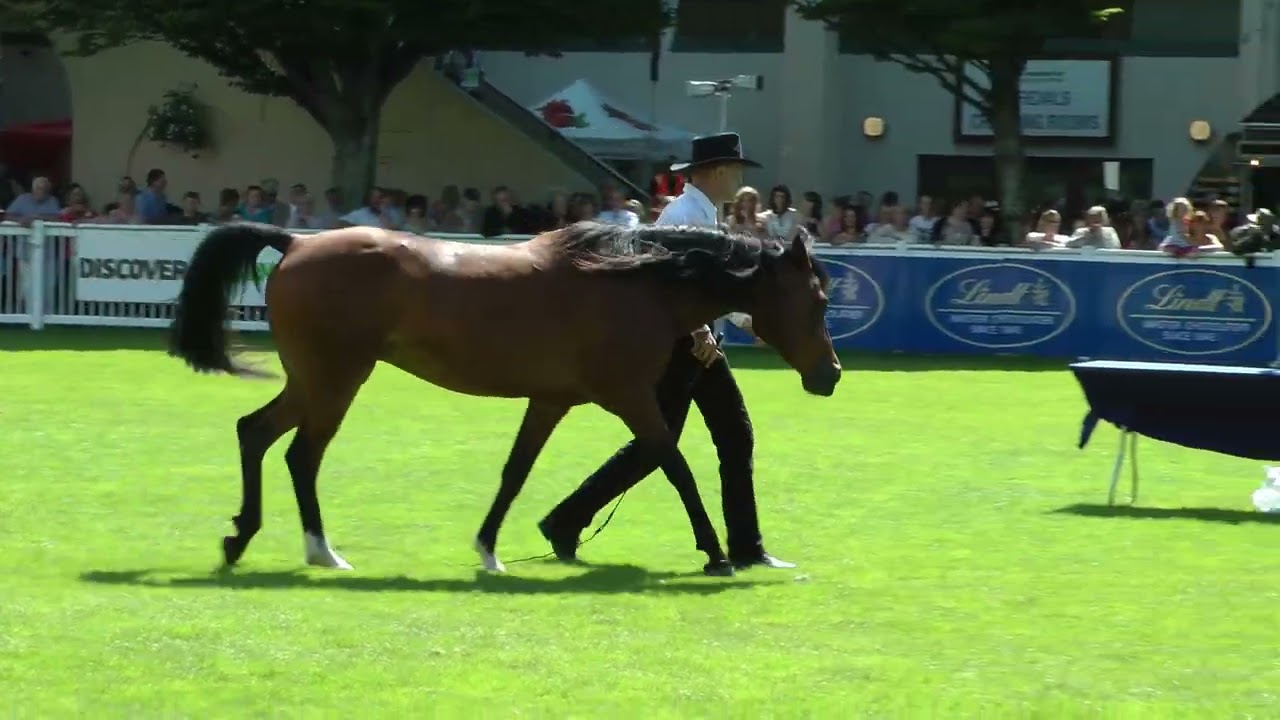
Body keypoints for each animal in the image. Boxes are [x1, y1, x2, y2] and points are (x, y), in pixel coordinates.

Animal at [168, 220, 840, 576]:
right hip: (336, 379)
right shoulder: (629, 398)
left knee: (255, 432)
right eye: (818, 300)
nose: (830, 375)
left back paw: (240, 538)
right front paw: (717, 554)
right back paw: (321, 551)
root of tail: (297, 240)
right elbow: (675, 466)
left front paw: (489, 550)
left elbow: (515, 473)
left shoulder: (549, 401)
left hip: (312, 380)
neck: (637, 282)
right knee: (300, 455)